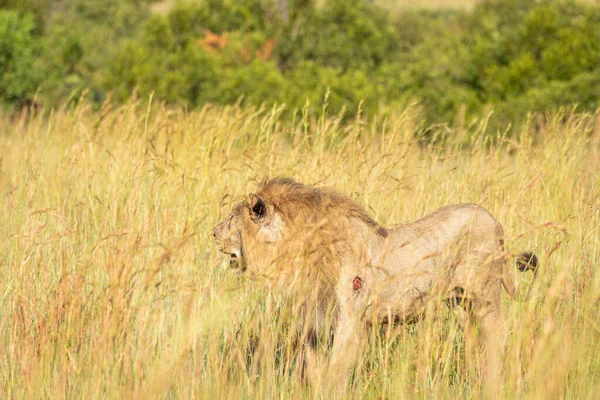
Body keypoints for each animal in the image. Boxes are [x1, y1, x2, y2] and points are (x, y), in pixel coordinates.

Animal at [212, 177, 540, 390]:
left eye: (231, 218)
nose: (213, 233)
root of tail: (495, 221)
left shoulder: (349, 320)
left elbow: (336, 373)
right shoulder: (314, 323)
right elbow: (314, 370)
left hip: (485, 295)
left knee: (497, 335)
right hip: (460, 302)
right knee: (476, 340)